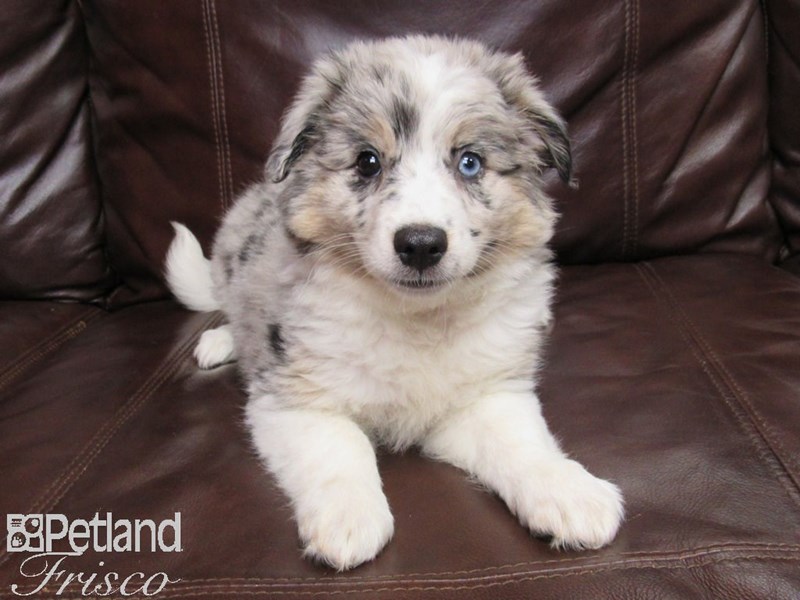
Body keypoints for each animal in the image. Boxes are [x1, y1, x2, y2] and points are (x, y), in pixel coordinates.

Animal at [166, 35, 623, 570]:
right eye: (367, 161)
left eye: (470, 162)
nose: (421, 244)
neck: (416, 319)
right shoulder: (296, 397)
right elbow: (339, 448)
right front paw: (348, 519)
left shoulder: (485, 396)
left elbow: (522, 444)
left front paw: (571, 493)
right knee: (228, 307)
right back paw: (219, 342)